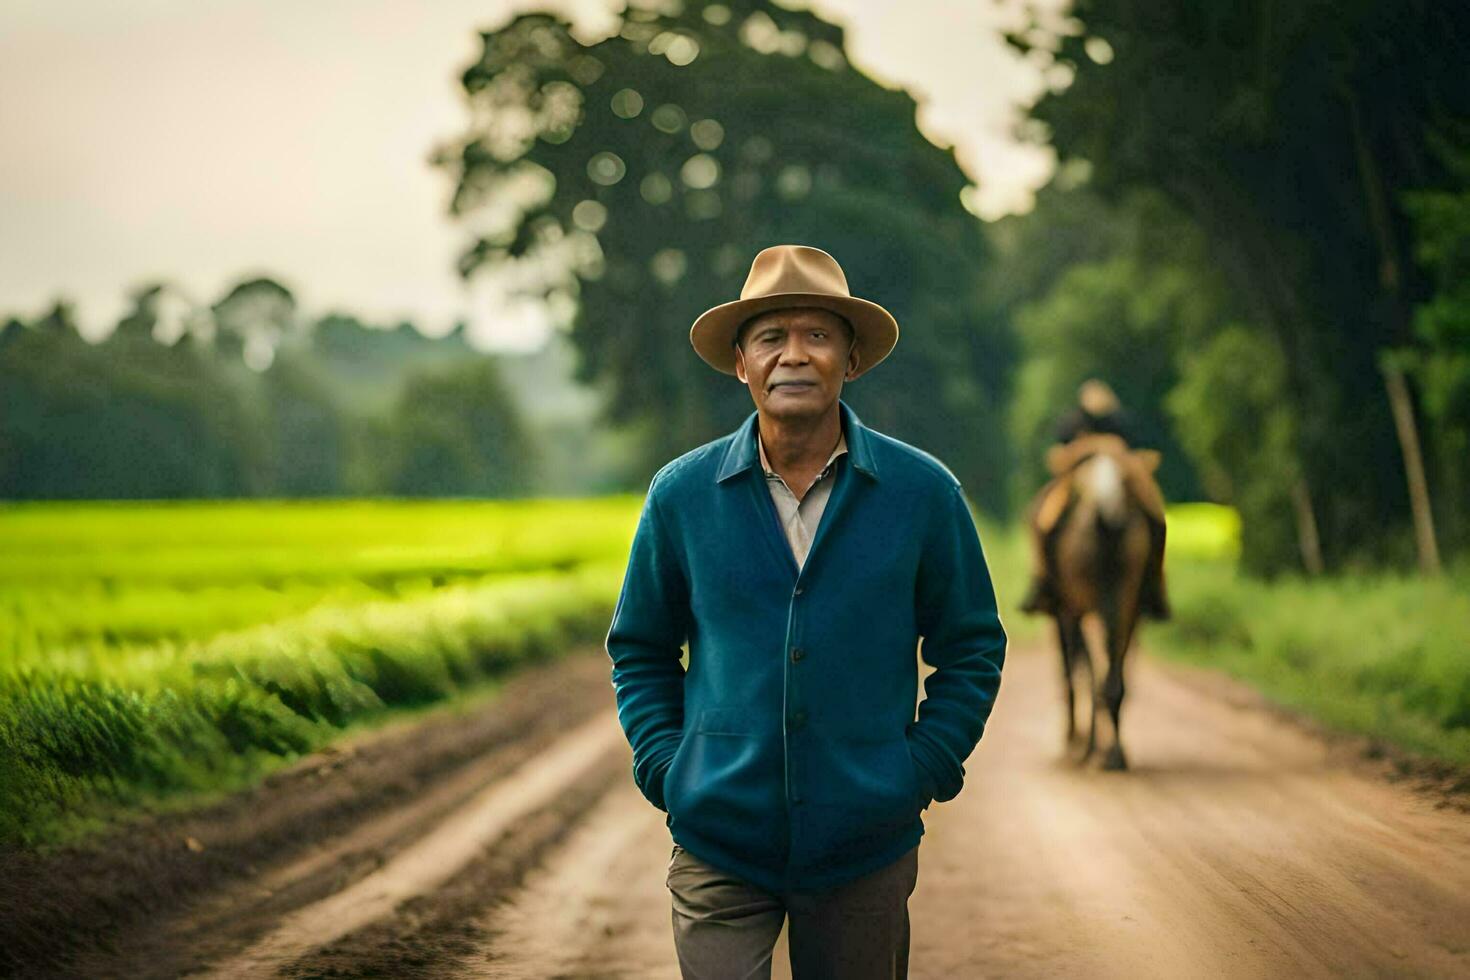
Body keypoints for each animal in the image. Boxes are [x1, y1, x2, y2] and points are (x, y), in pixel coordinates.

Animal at [1046, 440, 1158, 769]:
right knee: (1112, 668)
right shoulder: (1128, 610)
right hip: (1125, 599)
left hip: (1084, 602)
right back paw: (1113, 753)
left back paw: (1091, 746)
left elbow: (1075, 668)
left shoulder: (1067, 610)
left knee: (1090, 666)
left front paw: (1077, 739)